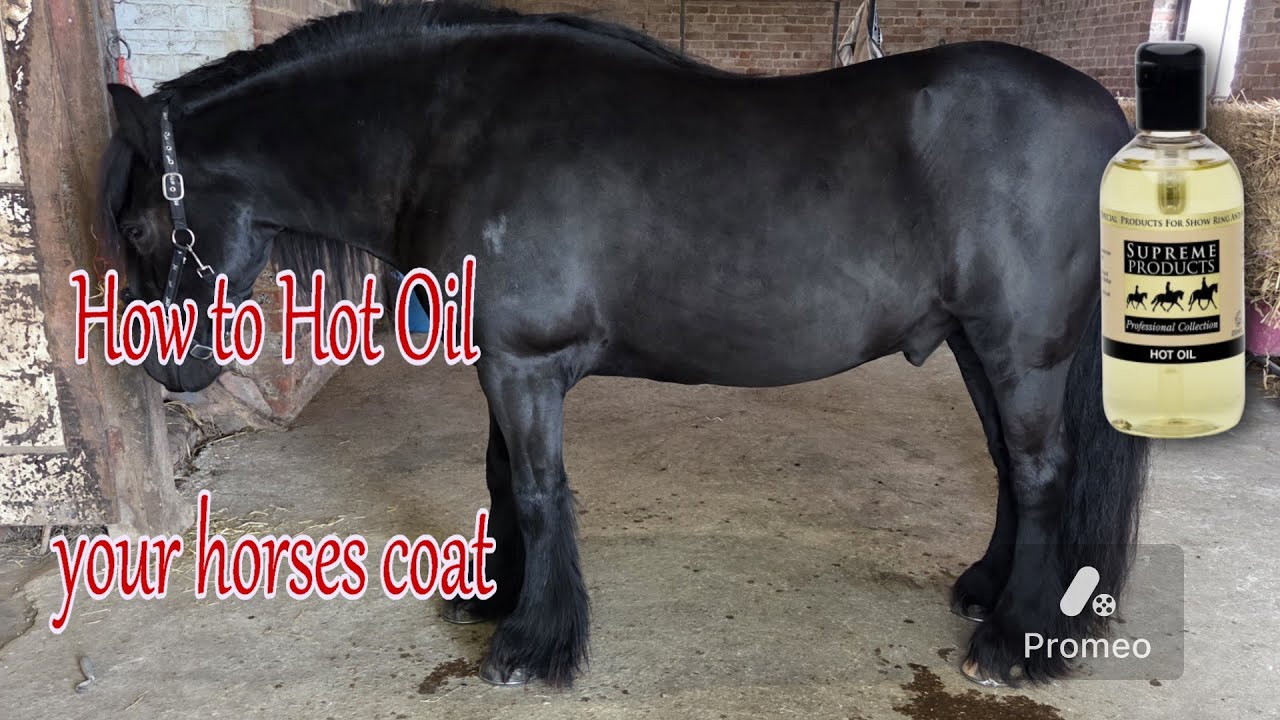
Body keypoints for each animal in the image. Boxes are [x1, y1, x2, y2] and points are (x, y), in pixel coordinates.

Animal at [97, 0, 1147, 689]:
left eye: (143, 228)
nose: (164, 370)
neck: (454, 129)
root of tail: (1110, 122)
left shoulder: (523, 366)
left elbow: (534, 490)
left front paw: (534, 646)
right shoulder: (501, 366)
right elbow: (501, 481)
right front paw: (499, 598)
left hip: (1021, 352)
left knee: (1041, 474)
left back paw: (1014, 644)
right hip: (976, 347)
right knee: (1010, 469)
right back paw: (985, 593)